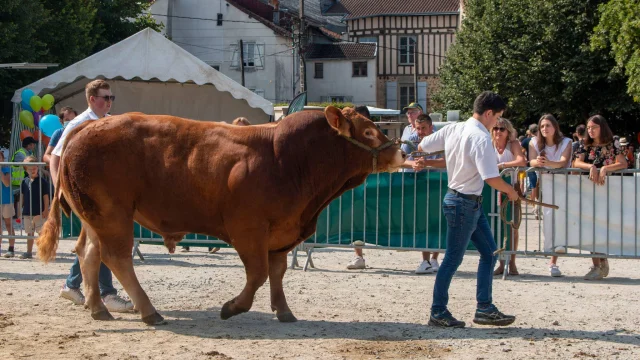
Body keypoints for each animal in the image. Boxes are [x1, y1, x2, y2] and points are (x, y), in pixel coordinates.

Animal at [36, 105, 404, 324]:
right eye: (368, 132)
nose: (400, 153)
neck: (288, 158)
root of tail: (86, 127)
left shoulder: (282, 231)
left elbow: (277, 271)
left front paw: (283, 310)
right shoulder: (247, 229)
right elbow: (257, 274)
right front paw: (233, 307)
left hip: (94, 215)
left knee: (88, 253)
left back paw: (98, 308)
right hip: (113, 213)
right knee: (117, 258)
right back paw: (149, 311)